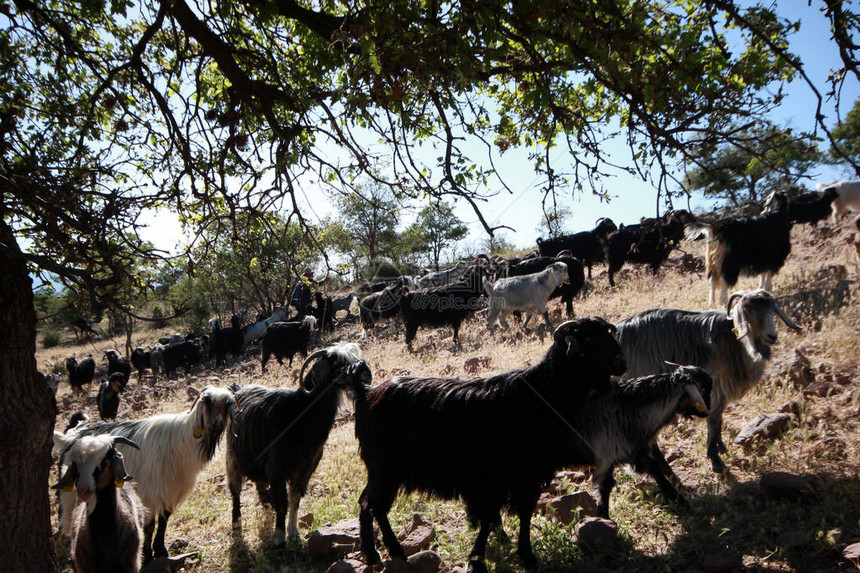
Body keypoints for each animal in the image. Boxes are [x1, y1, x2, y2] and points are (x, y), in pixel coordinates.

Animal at [227, 344, 372, 544]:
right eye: (337, 362)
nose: (366, 372)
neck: (300, 413)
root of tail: (238, 389)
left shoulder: (305, 468)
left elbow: (295, 498)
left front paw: (293, 533)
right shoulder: (277, 469)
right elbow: (282, 502)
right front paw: (279, 537)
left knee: (260, 486)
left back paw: (266, 506)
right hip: (232, 459)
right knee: (235, 492)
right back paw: (236, 525)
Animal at [354, 318, 624, 572]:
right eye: (587, 338)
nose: (620, 361)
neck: (542, 393)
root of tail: (367, 393)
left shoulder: (525, 477)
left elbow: (518, 514)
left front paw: (517, 553)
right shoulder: (499, 478)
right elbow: (493, 518)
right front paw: (485, 559)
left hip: (384, 470)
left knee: (372, 505)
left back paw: (387, 553)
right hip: (385, 468)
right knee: (371, 505)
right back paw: (382, 554)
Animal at [620, 288, 800, 472]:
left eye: (771, 309)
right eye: (748, 309)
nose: (772, 336)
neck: (734, 341)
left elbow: (718, 417)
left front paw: (721, 447)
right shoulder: (716, 385)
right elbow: (713, 418)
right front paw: (715, 459)